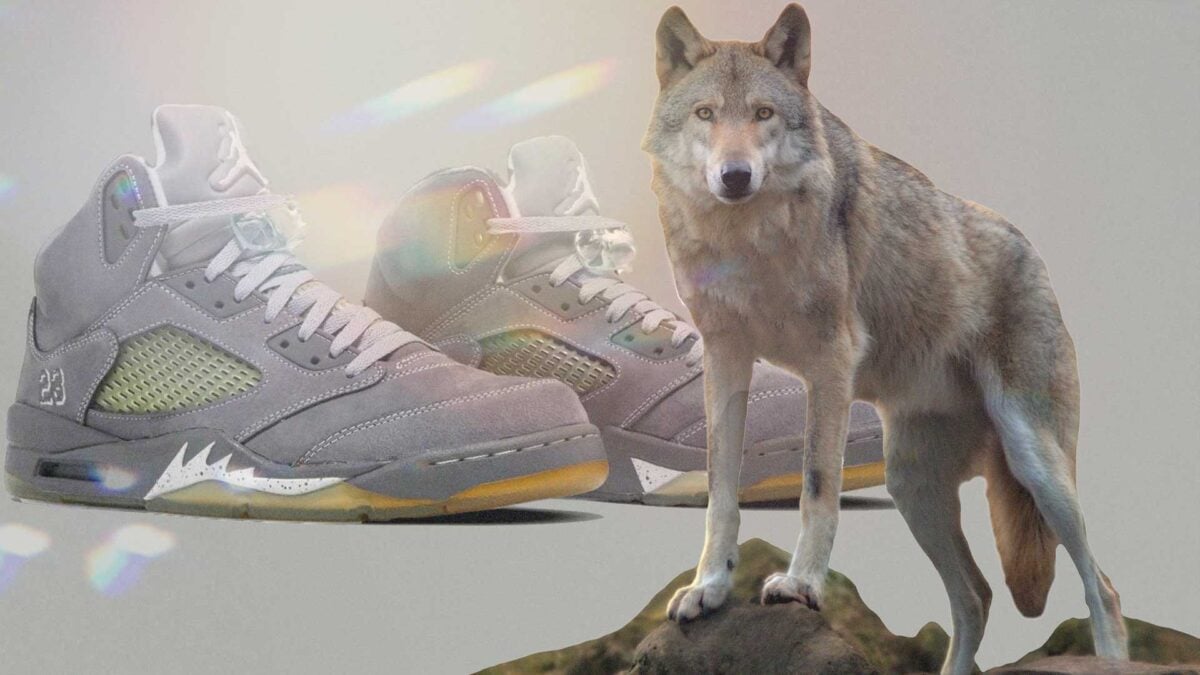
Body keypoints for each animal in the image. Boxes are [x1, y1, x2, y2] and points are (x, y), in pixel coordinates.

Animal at [642, 5, 1127, 673]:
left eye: (763, 114)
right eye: (706, 114)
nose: (734, 176)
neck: (748, 243)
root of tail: (1035, 254)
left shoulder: (830, 363)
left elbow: (817, 486)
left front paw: (800, 584)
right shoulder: (725, 360)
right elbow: (721, 492)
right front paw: (709, 589)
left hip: (1035, 463)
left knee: (1101, 586)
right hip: (910, 484)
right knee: (976, 596)